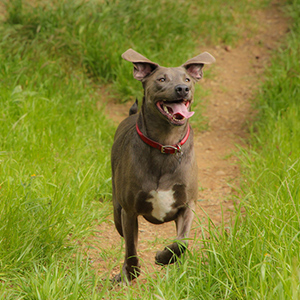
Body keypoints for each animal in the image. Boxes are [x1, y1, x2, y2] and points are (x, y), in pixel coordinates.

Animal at [111, 49, 214, 284]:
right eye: (161, 79)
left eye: (187, 79)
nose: (182, 88)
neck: (165, 145)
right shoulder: (129, 211)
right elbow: (131, 249)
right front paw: (130, 273)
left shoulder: (187, 205)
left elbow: (181, 243)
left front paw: (163, 256)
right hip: (117, 209)